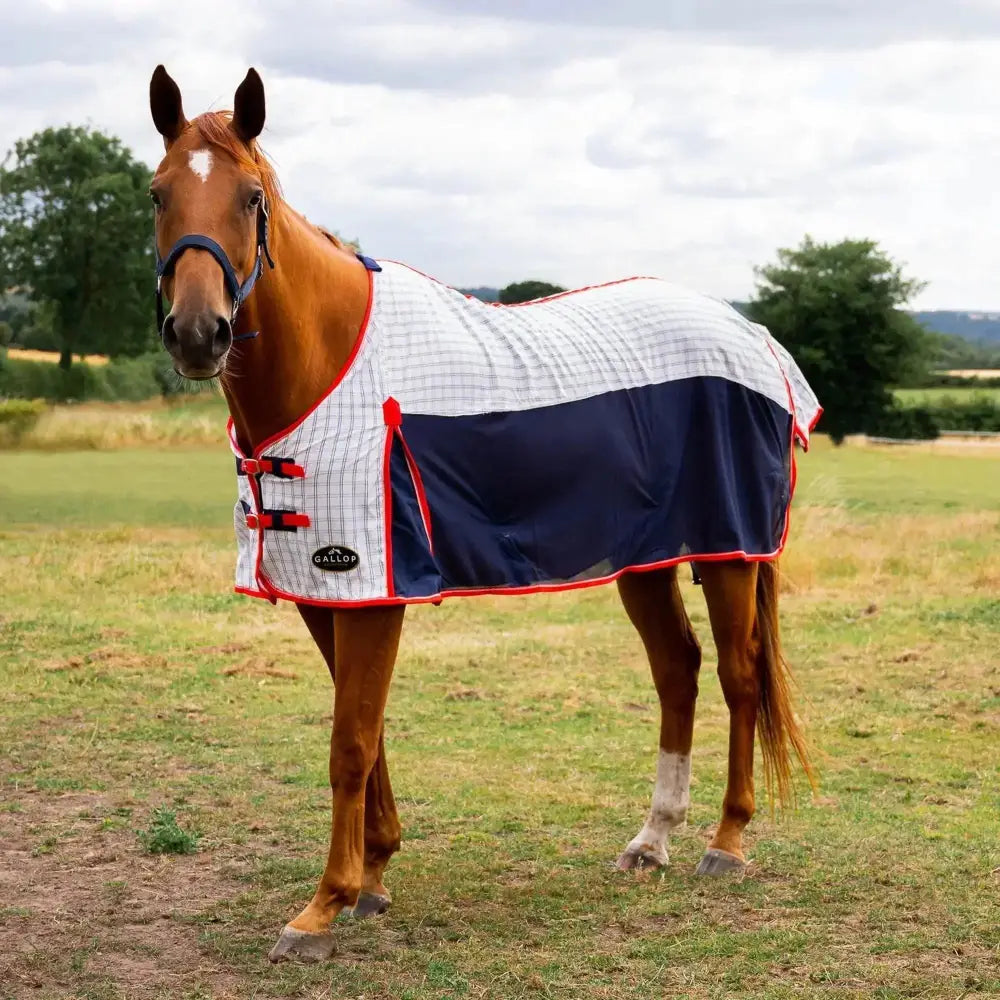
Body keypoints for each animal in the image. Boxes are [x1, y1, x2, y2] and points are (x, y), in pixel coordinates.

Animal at [150, 66, 812, 964]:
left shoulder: (376, 587)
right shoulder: (333, 593)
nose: (197, 333)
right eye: (157, 194)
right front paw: (374, 874)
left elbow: (349, 743)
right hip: (641, 557)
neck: (329, 363)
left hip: (728, 551)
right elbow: (368, 732)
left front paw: (322, 907)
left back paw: (726, 841)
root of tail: (752, 337)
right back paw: (652, 840)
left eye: (251, 198)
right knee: (678, 668)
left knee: (741, 676)